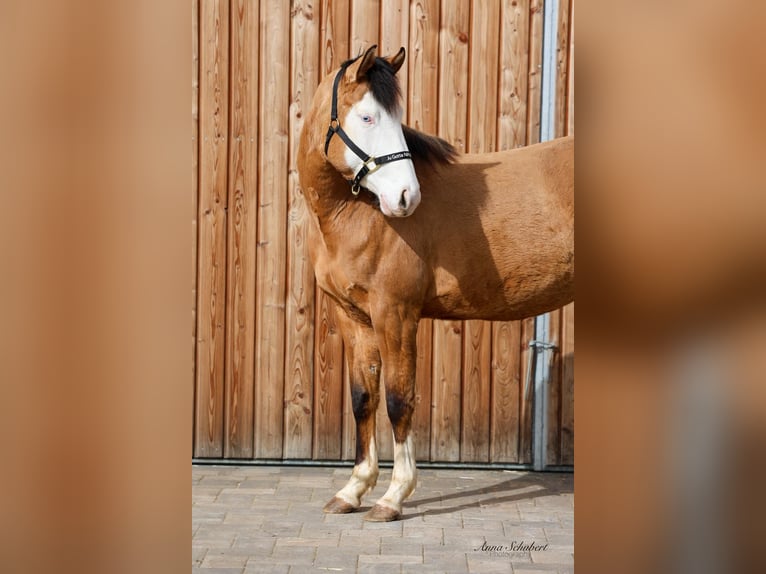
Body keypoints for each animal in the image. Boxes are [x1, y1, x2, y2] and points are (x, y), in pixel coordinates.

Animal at [297, 45, 574, 521]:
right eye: (368, 117)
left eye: (396, 117)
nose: (406, 198)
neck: (355, 214)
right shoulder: (353, 317)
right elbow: (363, 397)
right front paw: (353, 490)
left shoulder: (396, 314)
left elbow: (398, 398)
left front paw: (393, 496)